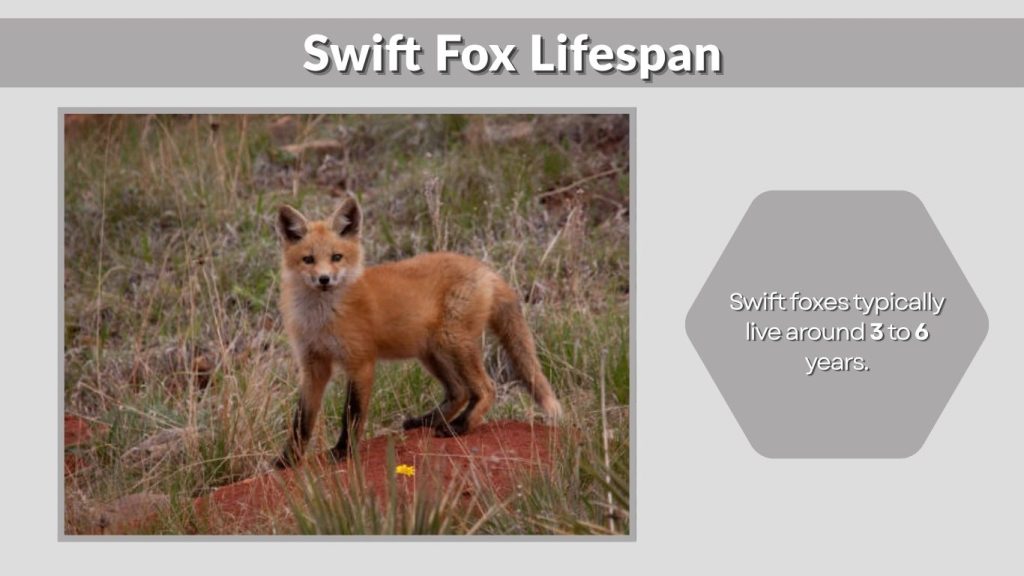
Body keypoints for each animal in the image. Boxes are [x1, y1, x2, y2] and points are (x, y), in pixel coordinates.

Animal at [272, 195, 563, 469]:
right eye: (308, 259)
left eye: (336, 257)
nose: (324, 279)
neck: (321, 318)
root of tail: (486, 269)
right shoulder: (313, 366)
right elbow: (302, 421)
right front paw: (288, 459)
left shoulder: (360, 362)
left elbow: (352, 414)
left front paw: (343, 451)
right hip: (432, 353)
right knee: (459, 391)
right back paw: (427, 420)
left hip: (453, 343)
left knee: (487, 388)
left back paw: (460, 427)